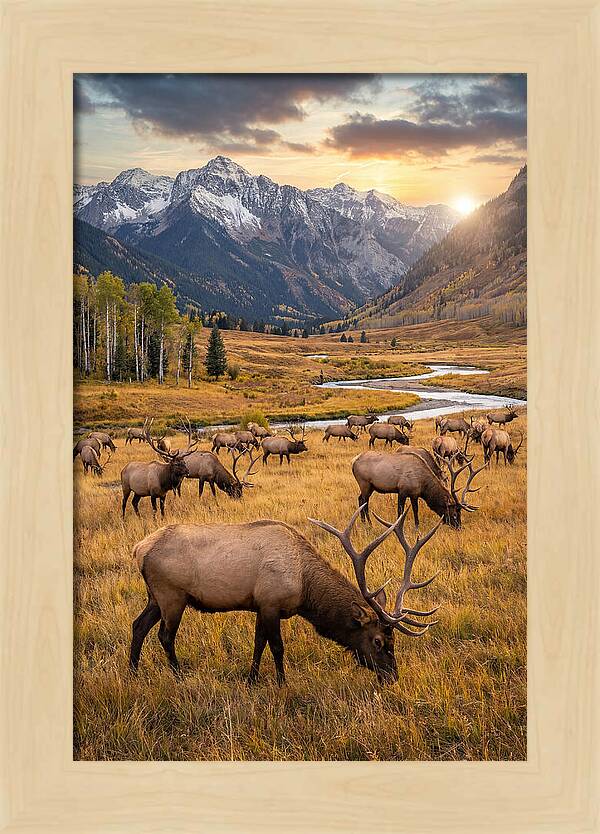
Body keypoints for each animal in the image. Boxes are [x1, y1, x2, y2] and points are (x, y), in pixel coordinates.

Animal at [129, 505, 441, 685]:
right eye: (378, 641)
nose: (392, 676)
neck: (305, 588)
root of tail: (138, 549)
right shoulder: (271, 602)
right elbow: (277, 647)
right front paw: (282, 682)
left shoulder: (259, 605)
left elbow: (258, 643)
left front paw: (252, 680)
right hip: (172, 595)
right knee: (165, 636)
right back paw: (178, 675)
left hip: (154, 597)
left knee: (138, 626)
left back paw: (133, 672)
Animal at [352, 448, 484, 529]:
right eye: (455, 514)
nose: (459, 527)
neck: (423, 484)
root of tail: (353, 462)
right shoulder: (402, 490)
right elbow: (400, 511)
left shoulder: (414, 494)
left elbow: (415, 510)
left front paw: (417, 527)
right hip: (365, 484)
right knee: (364, 502)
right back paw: (368, 524)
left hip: (370, 487)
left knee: (360, 499)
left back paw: (364, 523)